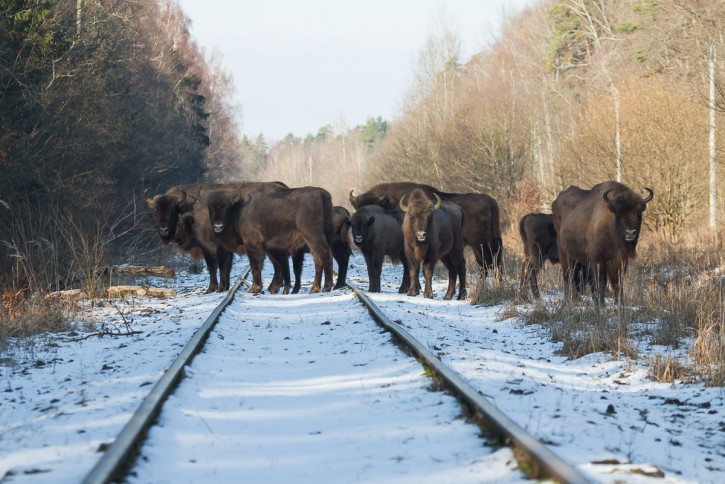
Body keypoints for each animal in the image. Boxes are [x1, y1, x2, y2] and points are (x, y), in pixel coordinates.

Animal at [206, 183, 334, 294]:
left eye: (227, 208)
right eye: (211, 208)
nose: (218, 226)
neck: (239, 207)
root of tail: (321, 193)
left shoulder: (252, 243)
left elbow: (255, 265)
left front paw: (255, 288)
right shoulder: (268, 247)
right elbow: (275, 265)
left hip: (313, 236)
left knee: (324, 254)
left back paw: (324, 287)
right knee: (319, 258)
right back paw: (317, 288)